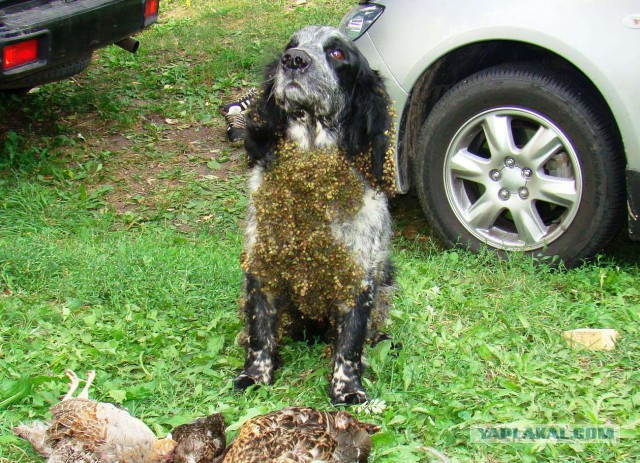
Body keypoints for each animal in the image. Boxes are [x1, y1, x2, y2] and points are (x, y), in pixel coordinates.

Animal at [235, 25, 396, 404]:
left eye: (337, 54)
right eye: (290, 45)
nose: (293, 60)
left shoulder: (359, 276)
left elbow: (350, 344)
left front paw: (347, 389)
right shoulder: (262, 264)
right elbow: (259, 331)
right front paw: (255, 376)